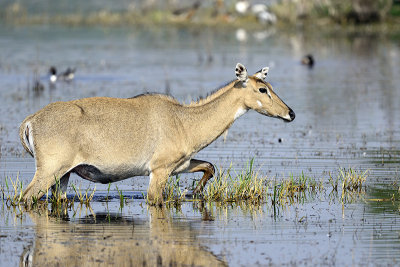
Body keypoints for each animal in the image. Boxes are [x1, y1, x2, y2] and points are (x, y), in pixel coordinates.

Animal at [19, 63, 294, 206]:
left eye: (270, 86)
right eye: (262, 89)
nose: (290, 113)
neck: (184, 121)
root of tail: (31, 120)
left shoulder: (179, 165)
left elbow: (210, 166)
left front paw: (193, 192)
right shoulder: (159, 171)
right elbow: (156, 201)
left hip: (63, 176)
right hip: (50, 171)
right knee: (25, 197)